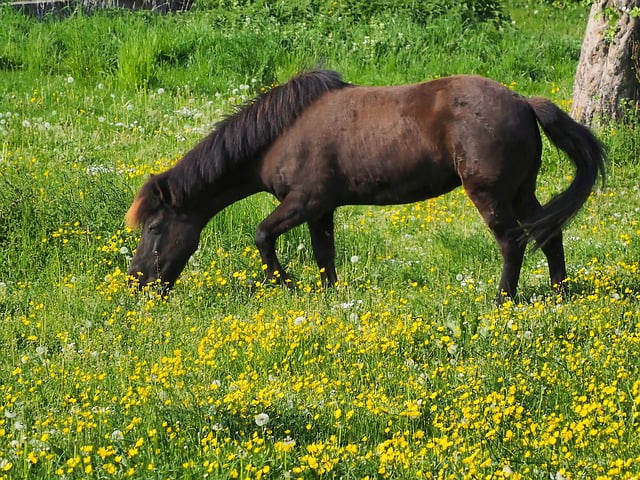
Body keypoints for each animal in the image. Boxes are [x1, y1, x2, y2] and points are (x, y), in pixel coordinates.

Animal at [124, 68, 604, 300]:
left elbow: (262, 236)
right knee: (550, 235)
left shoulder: (305, 200)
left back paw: (502, 299)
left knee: (512, 242)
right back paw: (559, 294)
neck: (281, 133)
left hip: (491, 195)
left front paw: (287, 284)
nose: (136, 280)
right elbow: (324, 256)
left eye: (155, 227)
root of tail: (523, 101)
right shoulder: (320, 209)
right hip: (522, 192)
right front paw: (327, 295)